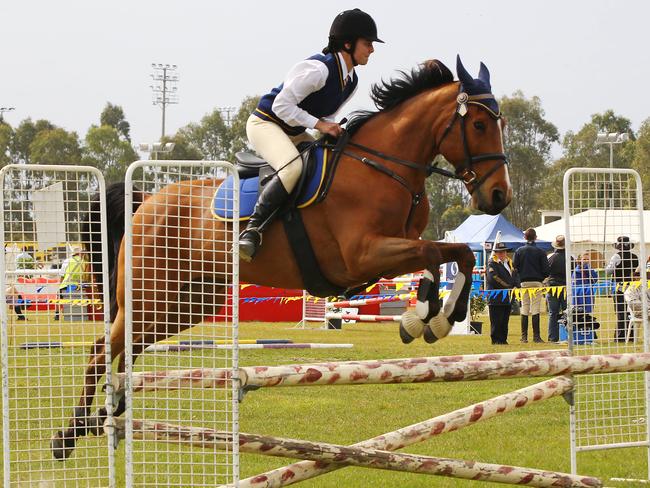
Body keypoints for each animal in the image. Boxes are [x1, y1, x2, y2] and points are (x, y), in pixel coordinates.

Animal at [52, 55, 512, 460]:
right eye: (478, 124)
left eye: (500, 123)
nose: (498, 197)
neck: (382, 166)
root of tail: (146, 201)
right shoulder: (363, 256)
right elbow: (437, 253)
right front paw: (428, 318)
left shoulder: (390, 252)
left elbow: (451, 258)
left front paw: (436, 318)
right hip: (152, 296)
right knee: (101, 349)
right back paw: (68, 435)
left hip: (186, 303)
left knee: (128, 348)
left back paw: (106, 411)